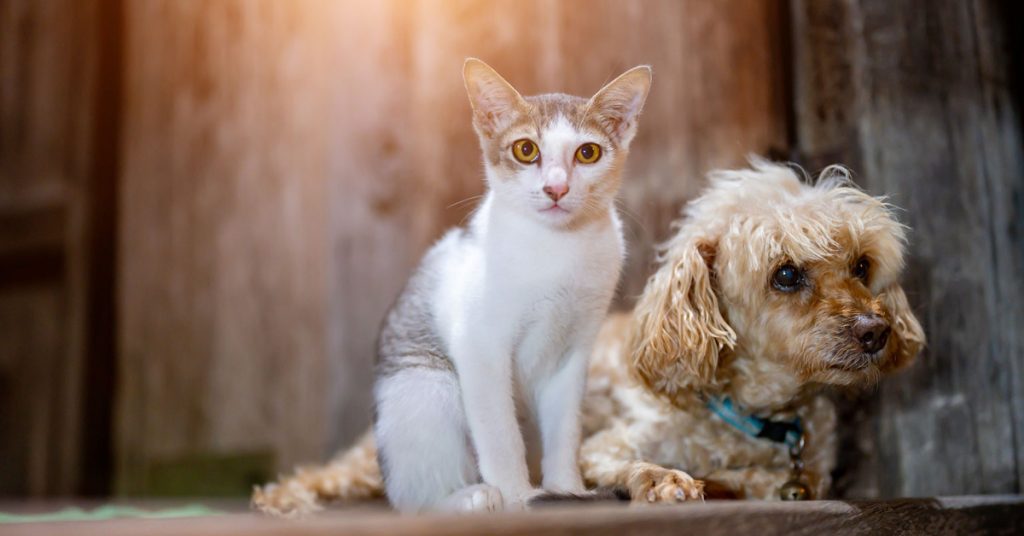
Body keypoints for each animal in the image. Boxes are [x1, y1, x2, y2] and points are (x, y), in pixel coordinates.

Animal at [251, 160, 925, 516]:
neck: (756, 416)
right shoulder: (606, 446)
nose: (876, 331)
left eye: (862, 266)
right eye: (786, 274)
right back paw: (282, 496)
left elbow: (771, 481)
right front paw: (666, 480)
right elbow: (637, 464)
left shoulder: (803, 474)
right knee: (345, 471)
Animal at [372, 57, 651, 512]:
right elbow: (500, 433)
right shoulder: (480, 346)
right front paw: (518, 495)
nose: (556, 188)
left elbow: (565, 431)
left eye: (587, 152)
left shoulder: (574, 354)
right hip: (426, 386)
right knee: (415, 501)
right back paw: (472, 497)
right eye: (526, 149)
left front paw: (566, 486)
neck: (558, 248)